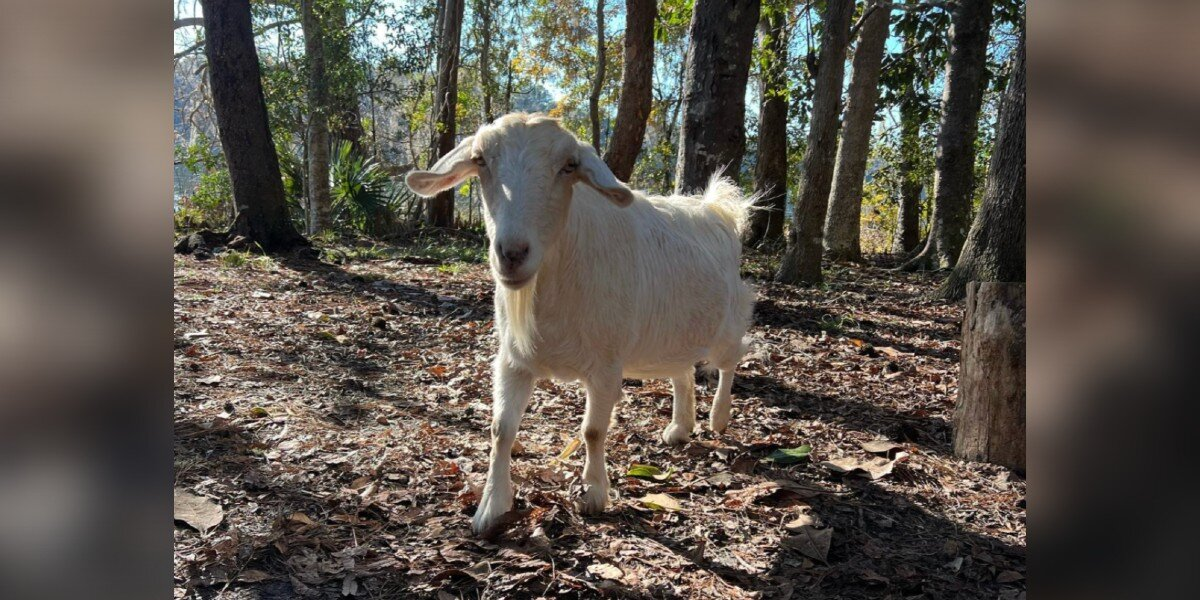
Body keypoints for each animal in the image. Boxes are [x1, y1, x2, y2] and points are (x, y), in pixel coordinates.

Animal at [406, 113, 755, 535]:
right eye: (480, 160)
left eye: (569, 166)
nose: (512, 253)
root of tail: (716, 209)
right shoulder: (513, 361)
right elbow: (501, 429)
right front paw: (491, 507)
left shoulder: (606, 366)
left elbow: (592, 430)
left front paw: (593, 494)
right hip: (672, 333)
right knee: (682, 371)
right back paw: (680, 428)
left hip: (727, 323)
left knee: (730, 360)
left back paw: (719, 418)